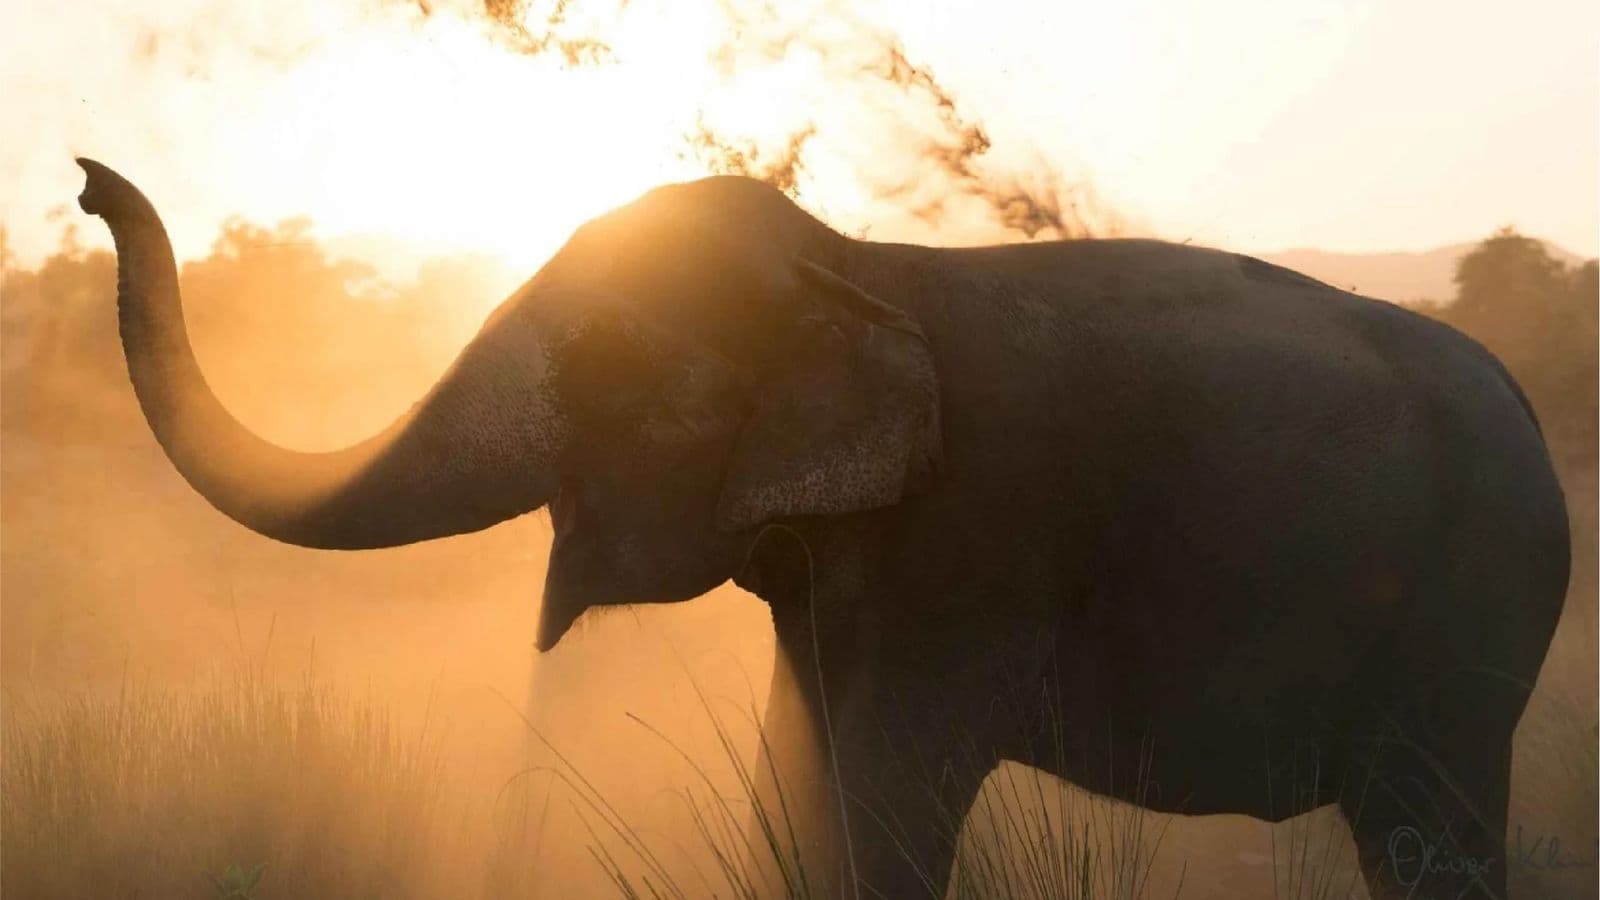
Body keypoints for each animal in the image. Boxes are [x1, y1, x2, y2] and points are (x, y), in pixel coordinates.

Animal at [77, 157, 1568, 899]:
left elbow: (884, 789)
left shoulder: (967, 547)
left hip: (1463, 627)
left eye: (605, 361)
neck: (849, 267)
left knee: (1421, 828)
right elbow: (797, 770)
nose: (91, 184)